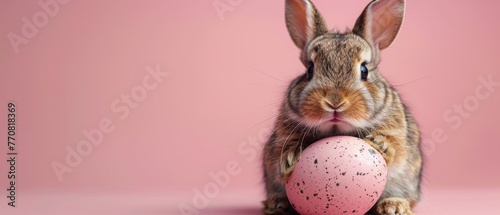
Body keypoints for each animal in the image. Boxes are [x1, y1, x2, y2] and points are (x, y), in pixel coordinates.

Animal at [262, 0, 422, 215]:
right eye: (309, 69)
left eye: (364, 70)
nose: (334, 101)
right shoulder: (282, 134)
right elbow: (285, 147)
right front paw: (290, 158)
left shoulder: (399, 135)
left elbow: (395, 147)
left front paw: (379, 143)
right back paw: (276, 204)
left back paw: (394, 206)